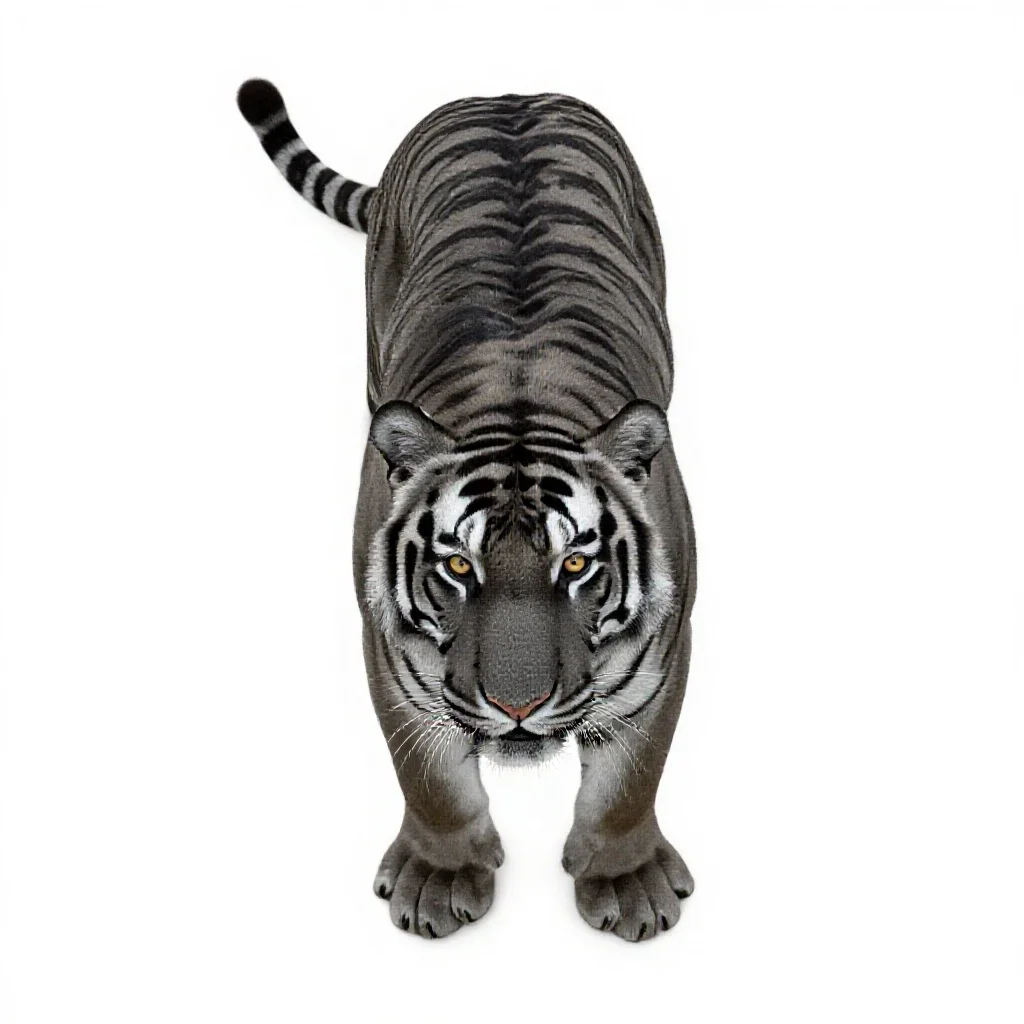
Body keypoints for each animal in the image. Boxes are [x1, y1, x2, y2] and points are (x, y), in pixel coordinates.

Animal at [237, 79, 697, 942]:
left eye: (576, 563)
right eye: (457, 564)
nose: (518, 707)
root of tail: (510, 93)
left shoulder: (664, 645)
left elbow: (629, 775)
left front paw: (625, 883)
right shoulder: (386, 644)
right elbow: (428, 773)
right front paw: (439, 876)